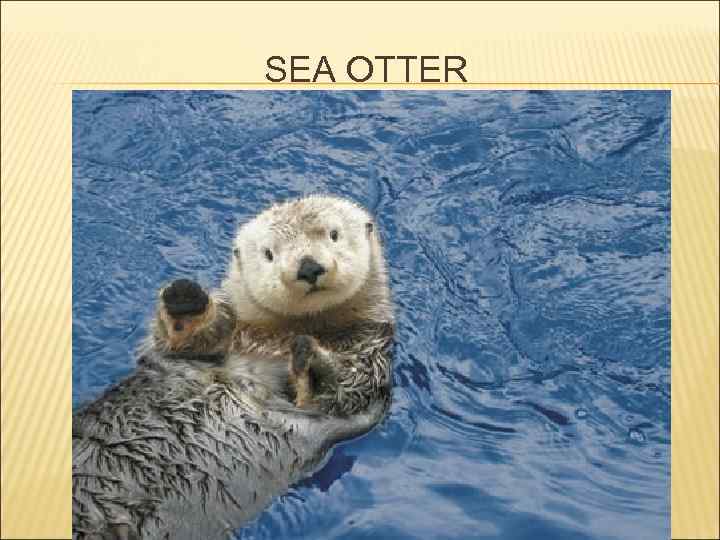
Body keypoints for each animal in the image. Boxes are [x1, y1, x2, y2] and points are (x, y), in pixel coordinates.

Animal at [72, 196, 394, 539]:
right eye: (269, 253)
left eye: (333, 234)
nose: (308, 267)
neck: (285, 334)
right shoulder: (222, 342)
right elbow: (184, 344)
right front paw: (185, 299)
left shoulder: (370, 356)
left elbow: (344, 390)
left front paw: (310, 361)